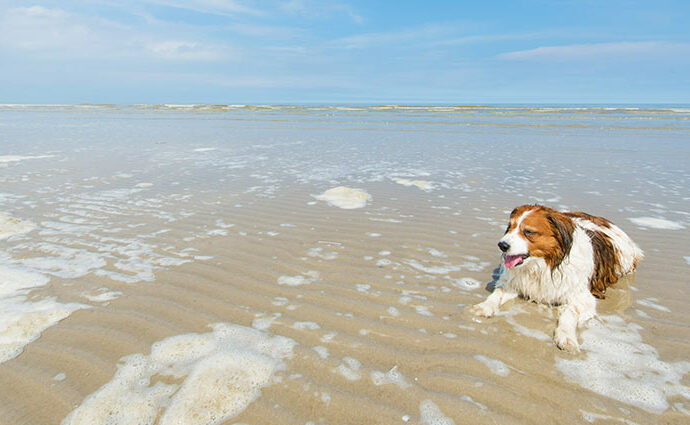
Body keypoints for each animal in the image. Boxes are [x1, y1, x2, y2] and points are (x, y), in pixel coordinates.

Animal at [468, 204, 640, 350]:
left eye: (528, 232)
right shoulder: (511, 283)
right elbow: (495, 295)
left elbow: (570, 313)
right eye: (509, 228)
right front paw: (483, 307)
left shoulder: (583, 298)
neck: (542, 265)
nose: (502, 245)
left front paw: (566, 337)